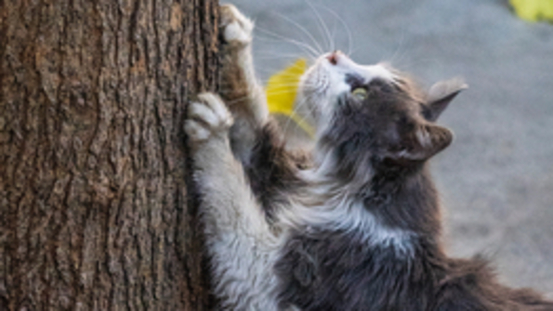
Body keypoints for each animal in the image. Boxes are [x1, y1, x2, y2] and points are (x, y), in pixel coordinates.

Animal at [184, 4, 552, 311]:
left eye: (360, 95)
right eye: (371, 66)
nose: (335, 55)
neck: (348, 193)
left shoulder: (273, 280)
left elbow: (232, 201)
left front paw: (212, 129)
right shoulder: (284, 175)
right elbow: (253, 120)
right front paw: (237, 37)